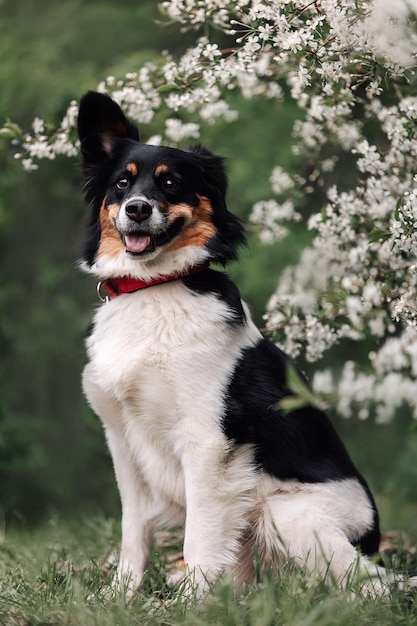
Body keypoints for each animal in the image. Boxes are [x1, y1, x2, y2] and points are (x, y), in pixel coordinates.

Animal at [77, 89, 396, 596]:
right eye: (122, 184)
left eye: (171, 184)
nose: (138, 209)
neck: (154, 289)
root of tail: (374, 536)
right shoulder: (123, 440)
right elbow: (134, 528)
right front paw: (123, 594)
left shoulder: (207, 442)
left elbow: (201, 534)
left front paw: (189, 601)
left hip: (287, 513)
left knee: (377, 584)